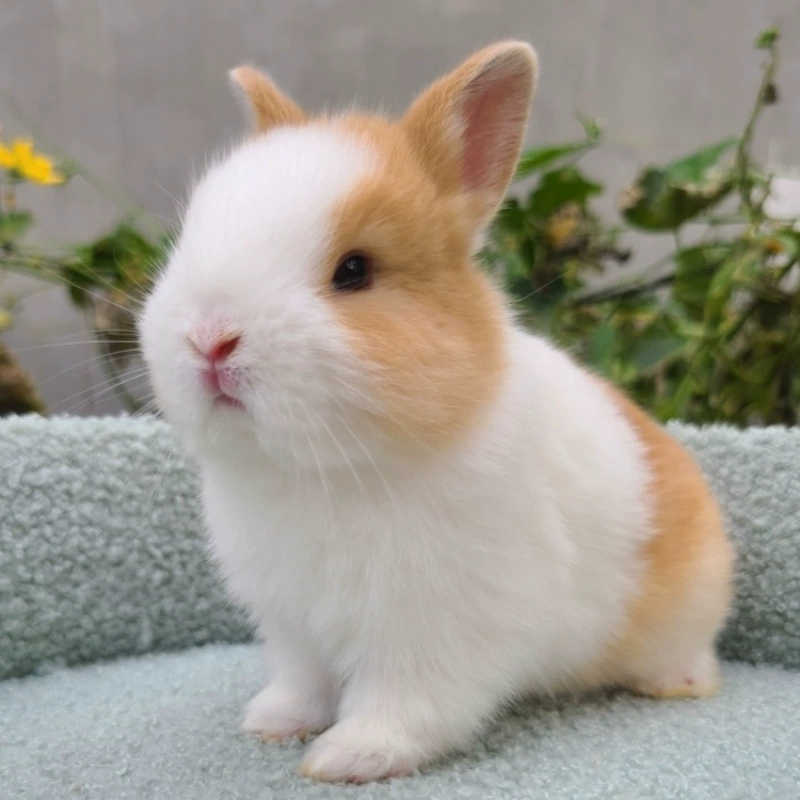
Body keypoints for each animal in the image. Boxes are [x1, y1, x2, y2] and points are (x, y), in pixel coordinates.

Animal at [138, 41, 734, 783]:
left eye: (355, 270)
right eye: (188, 241)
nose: (210, 339)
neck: (320, 472)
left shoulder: (434, 629)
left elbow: (407, 703)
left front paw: (349, 757)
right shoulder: (294, 625)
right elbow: (303, 681)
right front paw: (273, 723)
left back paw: (678, 684)